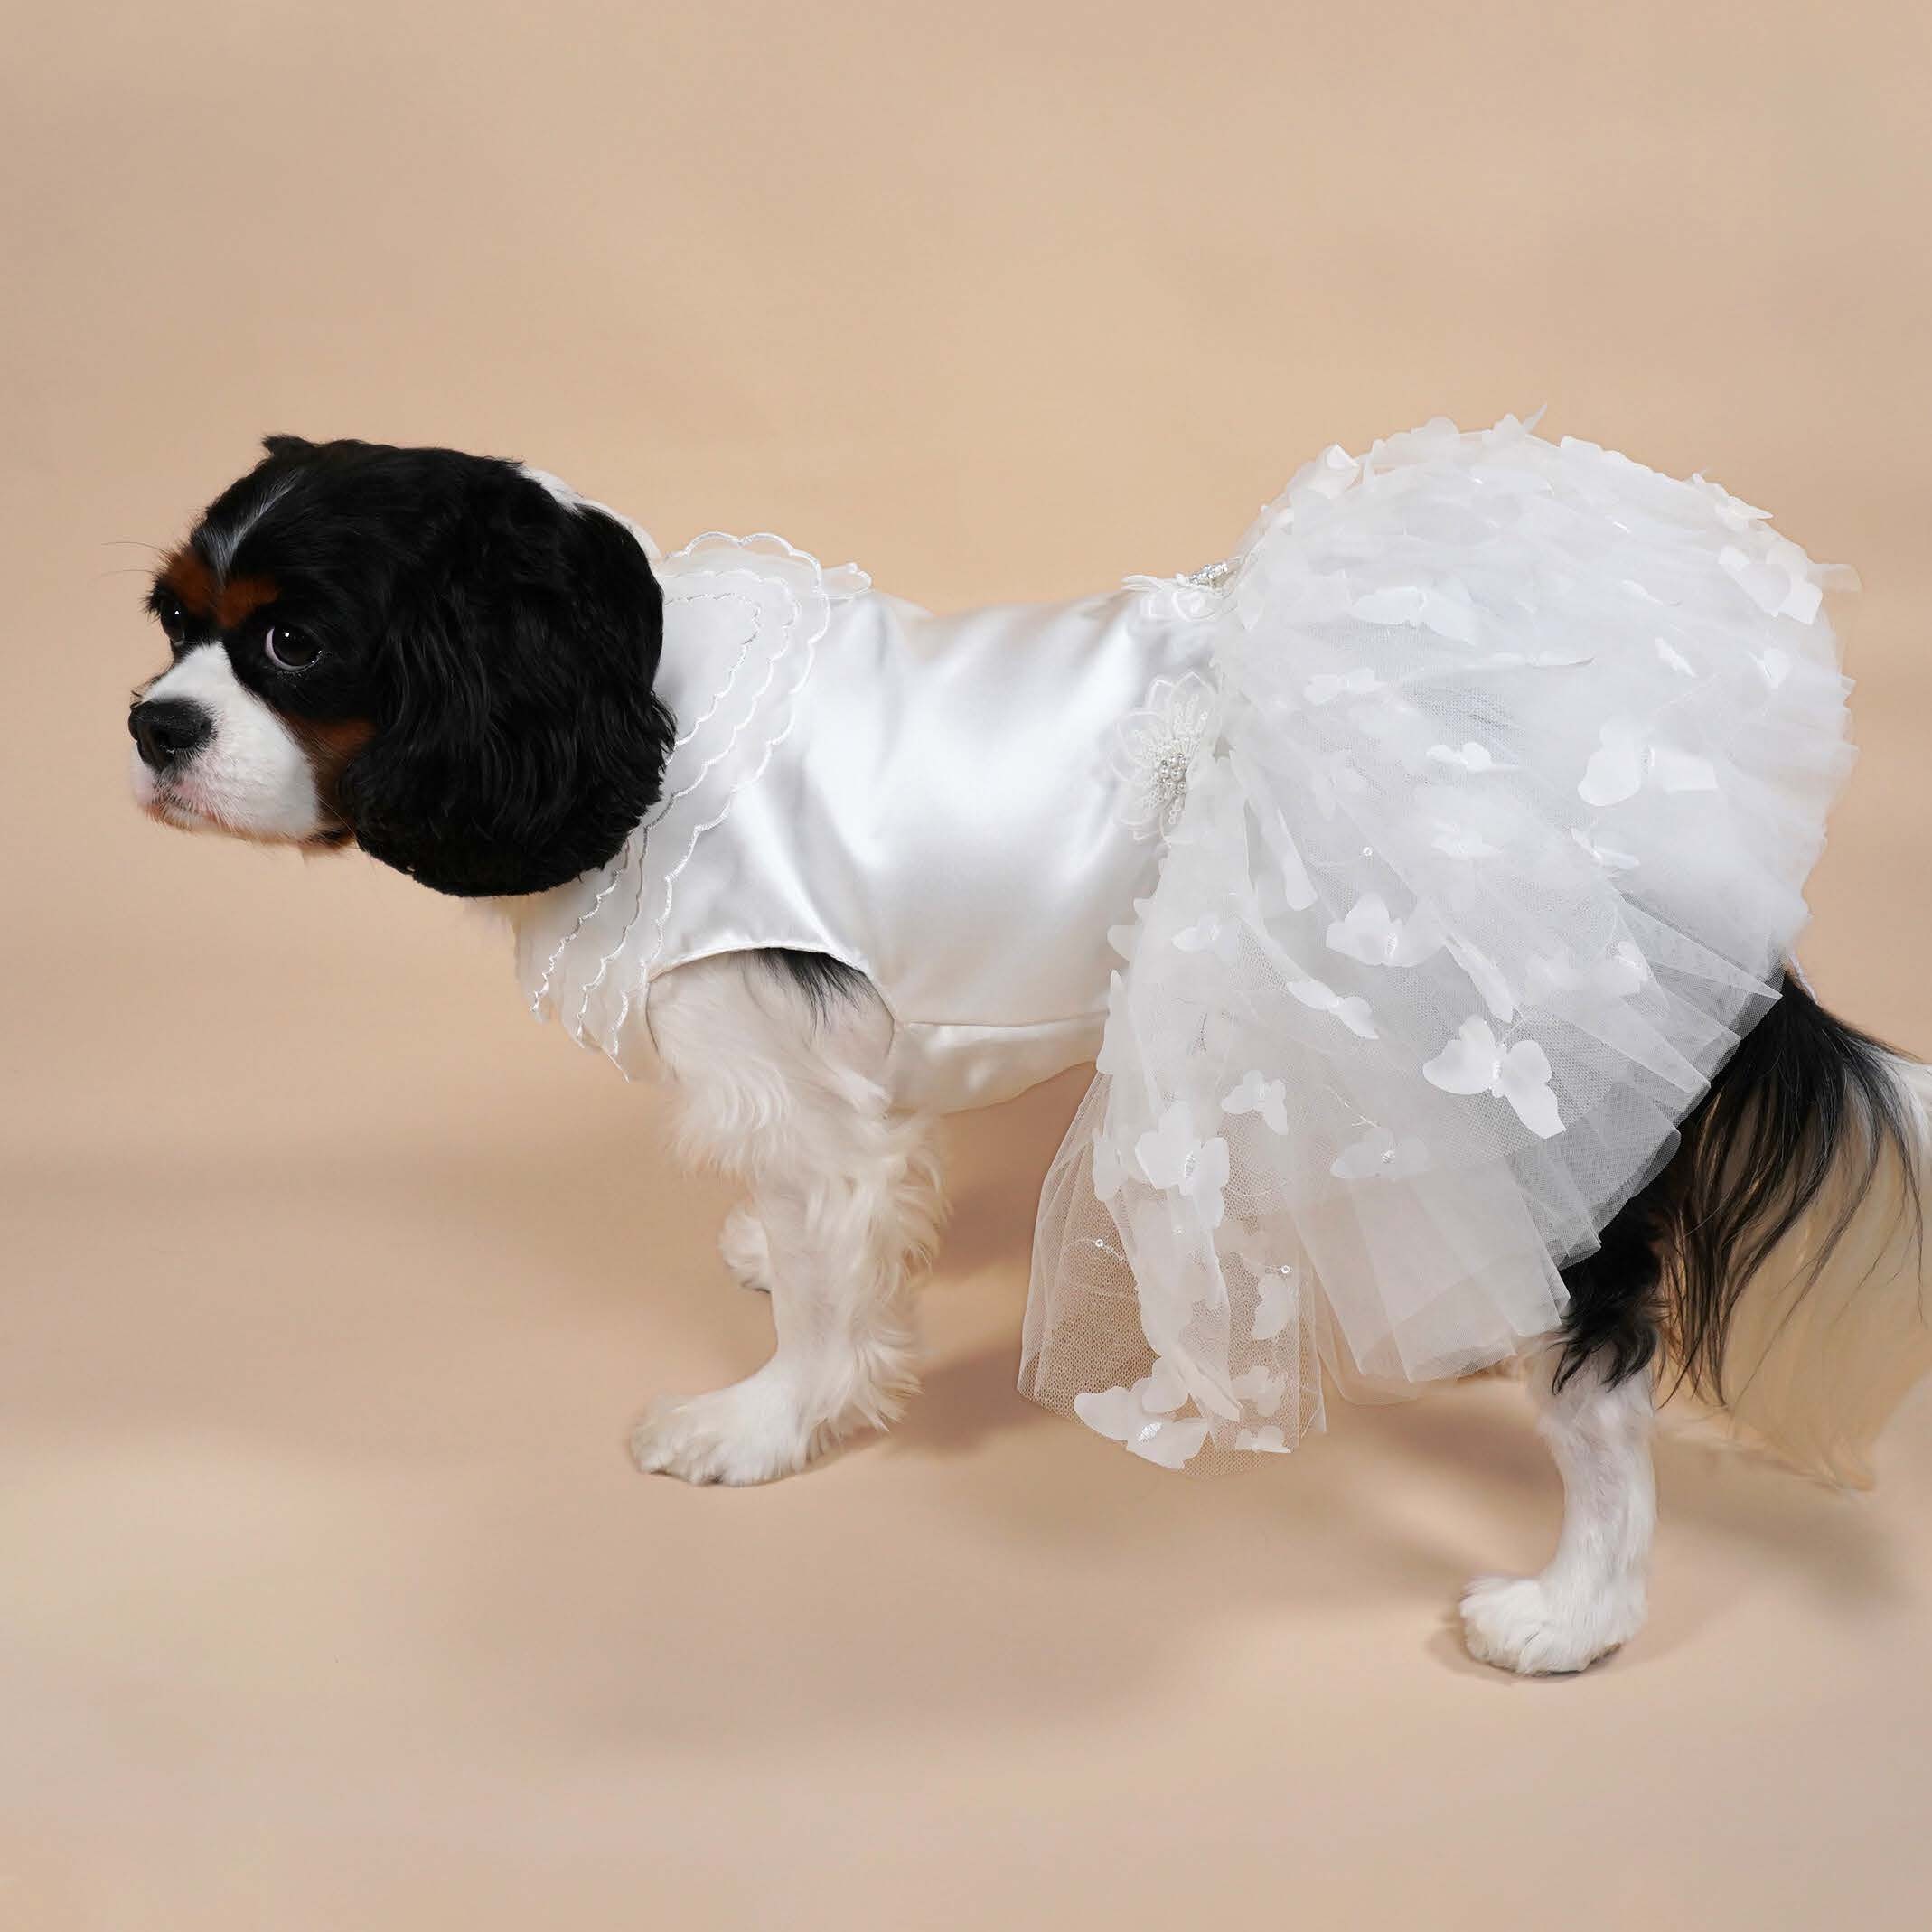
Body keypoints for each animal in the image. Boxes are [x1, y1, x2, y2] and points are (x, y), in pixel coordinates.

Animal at [128, 434, 1932, 1674]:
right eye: (169, 622)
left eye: (292, 647)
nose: (149, 722)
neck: (632, 703)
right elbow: (817, 1224)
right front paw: (760, 1265)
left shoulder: (794, 1063)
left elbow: (824, 1280)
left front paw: (759, 1421)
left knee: (1604, 1395)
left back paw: (1570, 1615)